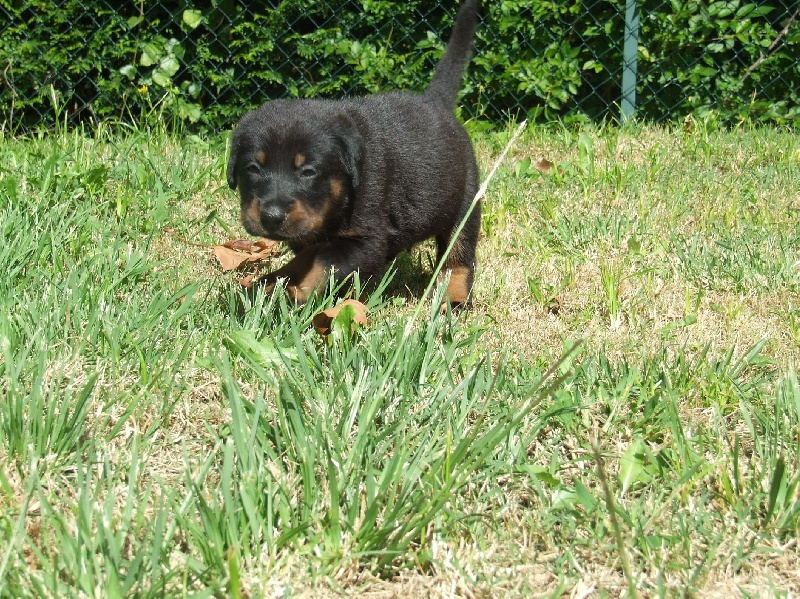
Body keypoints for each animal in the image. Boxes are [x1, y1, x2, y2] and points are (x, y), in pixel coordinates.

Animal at [225, 0, 478, 308]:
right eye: (253, 168)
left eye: (309, 172)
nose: (271, 217)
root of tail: (435, 103)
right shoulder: (308, 231)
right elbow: (308, 256)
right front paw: (273, 283)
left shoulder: (366, 237)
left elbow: (324, 262)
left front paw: (297, 290)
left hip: (465, 198)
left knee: (459, 252)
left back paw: (451, 298)